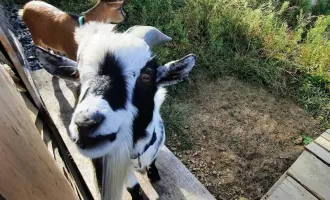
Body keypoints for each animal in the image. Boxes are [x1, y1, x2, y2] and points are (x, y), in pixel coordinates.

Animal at [35, 22, 196, 200]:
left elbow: (154, 160)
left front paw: (154, 174)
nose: (85, 123)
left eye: (146, 77)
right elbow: (133, 186)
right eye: (77, 75)